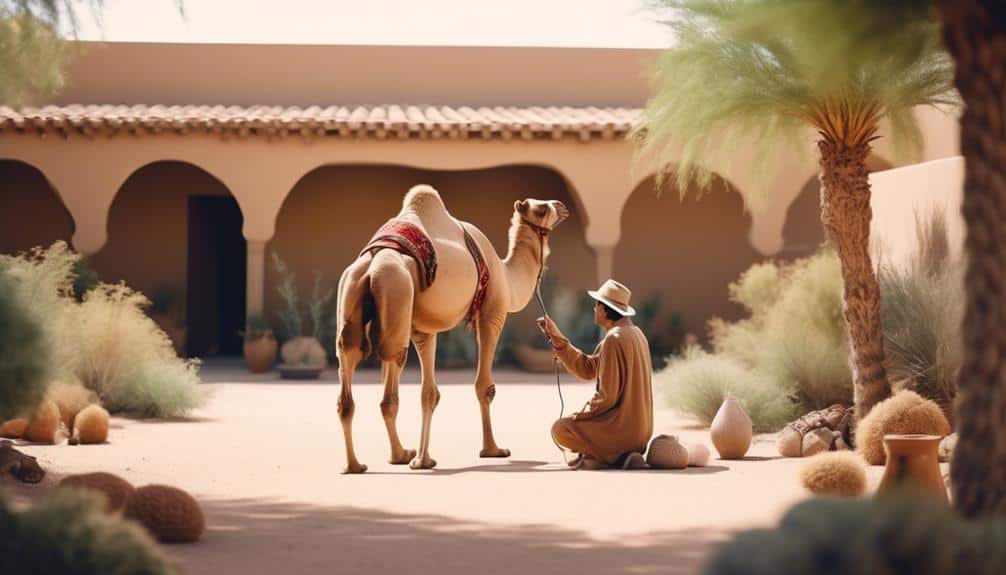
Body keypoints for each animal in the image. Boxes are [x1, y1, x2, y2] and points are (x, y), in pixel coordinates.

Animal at [335, 184, 568, 473]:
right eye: (542, 208)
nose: (561, 205)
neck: (506, 275)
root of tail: (373, 266)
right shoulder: (492, 312)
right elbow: (484, 386)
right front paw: (492, 450)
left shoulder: (423, 327)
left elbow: (428, 393)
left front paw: (421, 459)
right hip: (397, 290)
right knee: (391, 369)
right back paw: (397, 456)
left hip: (354, 296)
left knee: (350, 371)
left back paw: (364, 463)